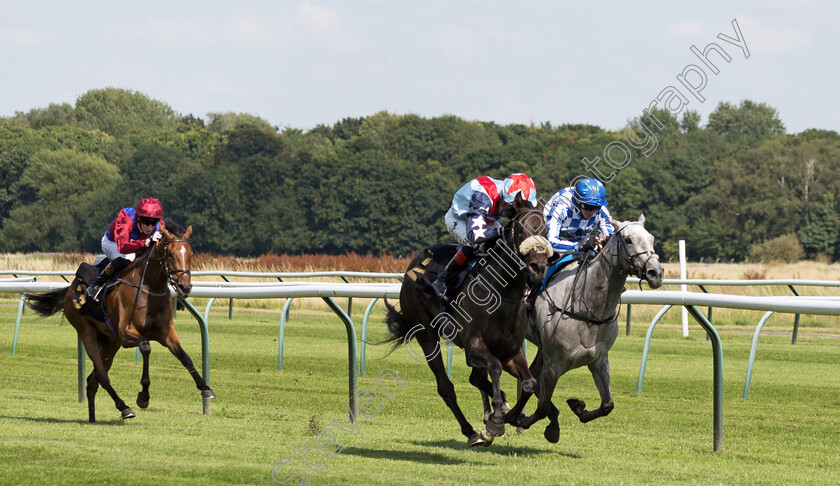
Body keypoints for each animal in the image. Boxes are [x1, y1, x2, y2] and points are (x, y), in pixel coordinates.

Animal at [27, 223, 215, 422]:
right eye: (170, 254)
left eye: (191, 254)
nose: (185, 287)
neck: (150, 289)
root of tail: (70, 289)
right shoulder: (126, 334)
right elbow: (146, 347)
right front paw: (143, 397)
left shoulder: (165, 332)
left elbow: (184, 356)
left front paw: (205, 388)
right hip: (87, 332)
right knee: (102, 375)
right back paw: (124, 407)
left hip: (111, 342)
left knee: (93, 379)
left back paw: (93, 418)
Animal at [384, 196, 556, 446]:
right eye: (521, 230)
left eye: (544, 231)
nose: (539, 267)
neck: (502, 295)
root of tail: (413, 265)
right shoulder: (474, 346)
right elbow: (494, 368)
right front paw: (496, 420)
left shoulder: (511, 351)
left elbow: (530, 382)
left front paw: (511, 415)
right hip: (426, 336)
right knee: (446, 387)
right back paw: (471, 431)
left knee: (476, 378)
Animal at [506, 215, 664, 442]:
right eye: (628, 240)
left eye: (651, 238)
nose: (655, 272)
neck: (587, 307)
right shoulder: (554, 364)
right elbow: (542, 406)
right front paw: (522, 420)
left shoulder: (599, 359)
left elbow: (607, 405)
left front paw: (577, 407)